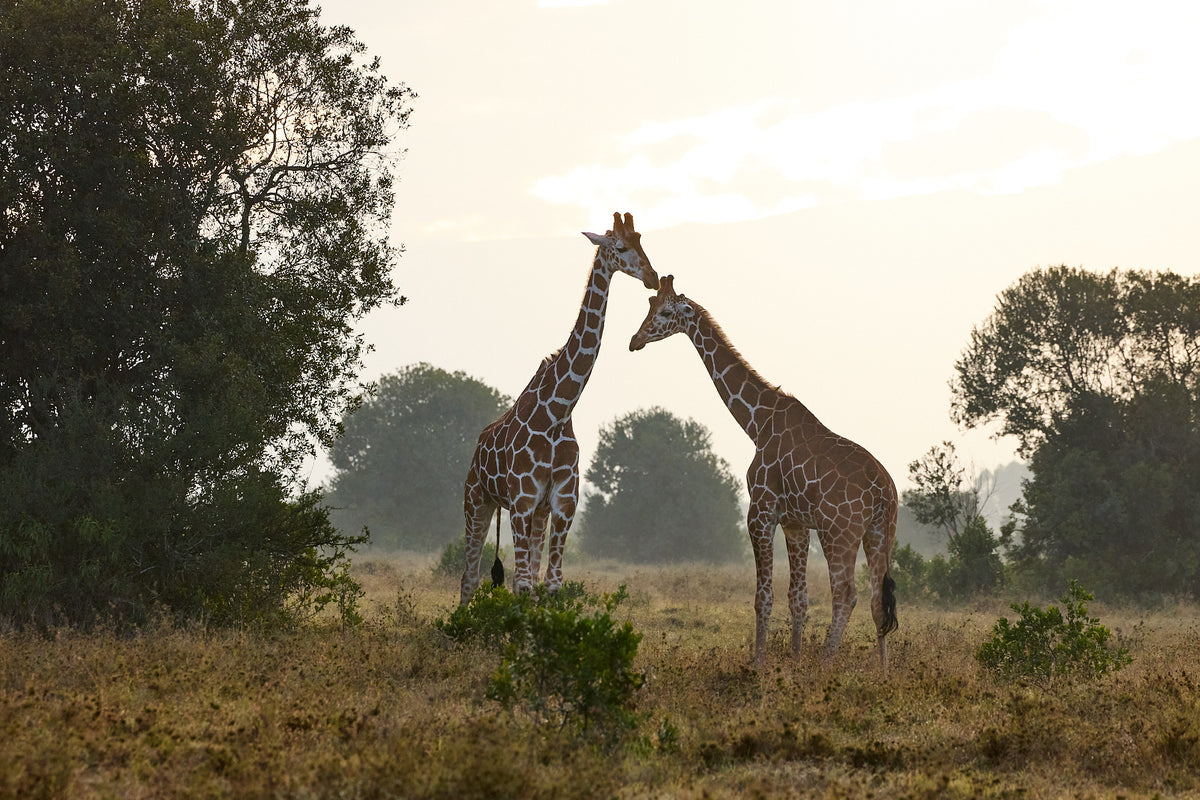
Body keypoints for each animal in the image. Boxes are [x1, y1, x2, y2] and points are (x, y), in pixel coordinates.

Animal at [460, 212, 659, 603]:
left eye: (642, 240)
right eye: (620, 247)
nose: (653, 277)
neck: (557, 412)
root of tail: (476, 451)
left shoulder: (563, 504)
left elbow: (550, 585)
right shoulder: (521, 501)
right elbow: (522, 585)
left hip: (535, 513)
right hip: (478, 502)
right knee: (469, 577)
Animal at [629, 275, 898, 668]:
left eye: (665, 312)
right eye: (649, 305)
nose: (635, 340)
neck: (756, 422)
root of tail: (883, 492)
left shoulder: (760, 512)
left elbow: (763, 597)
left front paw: (758, 663)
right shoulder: (795, 522)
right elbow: (798, 599)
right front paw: (794, 659)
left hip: (839, 533)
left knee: (846, 595)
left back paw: (825, 664)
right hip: (880, 532)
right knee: (879, 598)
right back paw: (882, 671)